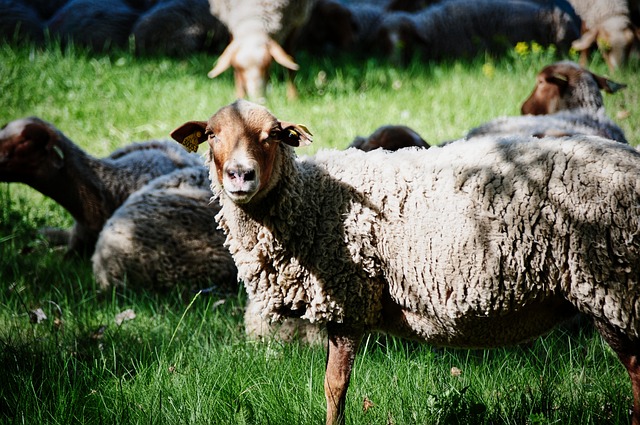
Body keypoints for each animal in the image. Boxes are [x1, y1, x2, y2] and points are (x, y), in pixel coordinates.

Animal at [170, 99, 640, 424]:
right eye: (211, 135)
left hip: (613, 289)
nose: (240, 175)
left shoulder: (348, 298)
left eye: (272, 135)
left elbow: (334, 388)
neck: (311, 199)